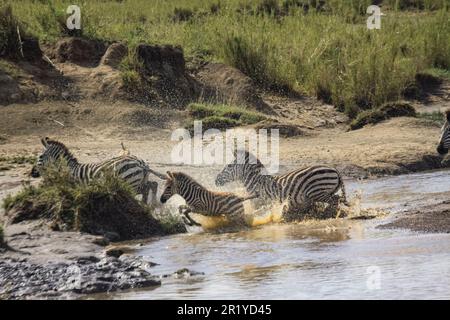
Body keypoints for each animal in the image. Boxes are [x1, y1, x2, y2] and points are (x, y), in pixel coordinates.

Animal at [30, 136, 167, 204]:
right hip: (138, 181)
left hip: (130, 183)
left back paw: (148, 205)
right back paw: (151, 205)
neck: (69, 168)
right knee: (152, 185)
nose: (32, 173)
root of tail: (140, 163)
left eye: (40, 157)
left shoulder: (72, 187)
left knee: (147, 188)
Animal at [214, 149, 348, 219]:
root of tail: (334, 169)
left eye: (229, 166)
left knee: (335, 200)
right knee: (337, 200)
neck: (256, 182)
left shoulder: (259, 203)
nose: (216, 180)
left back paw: (331, 214)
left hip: (318, 192)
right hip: (324, 192)